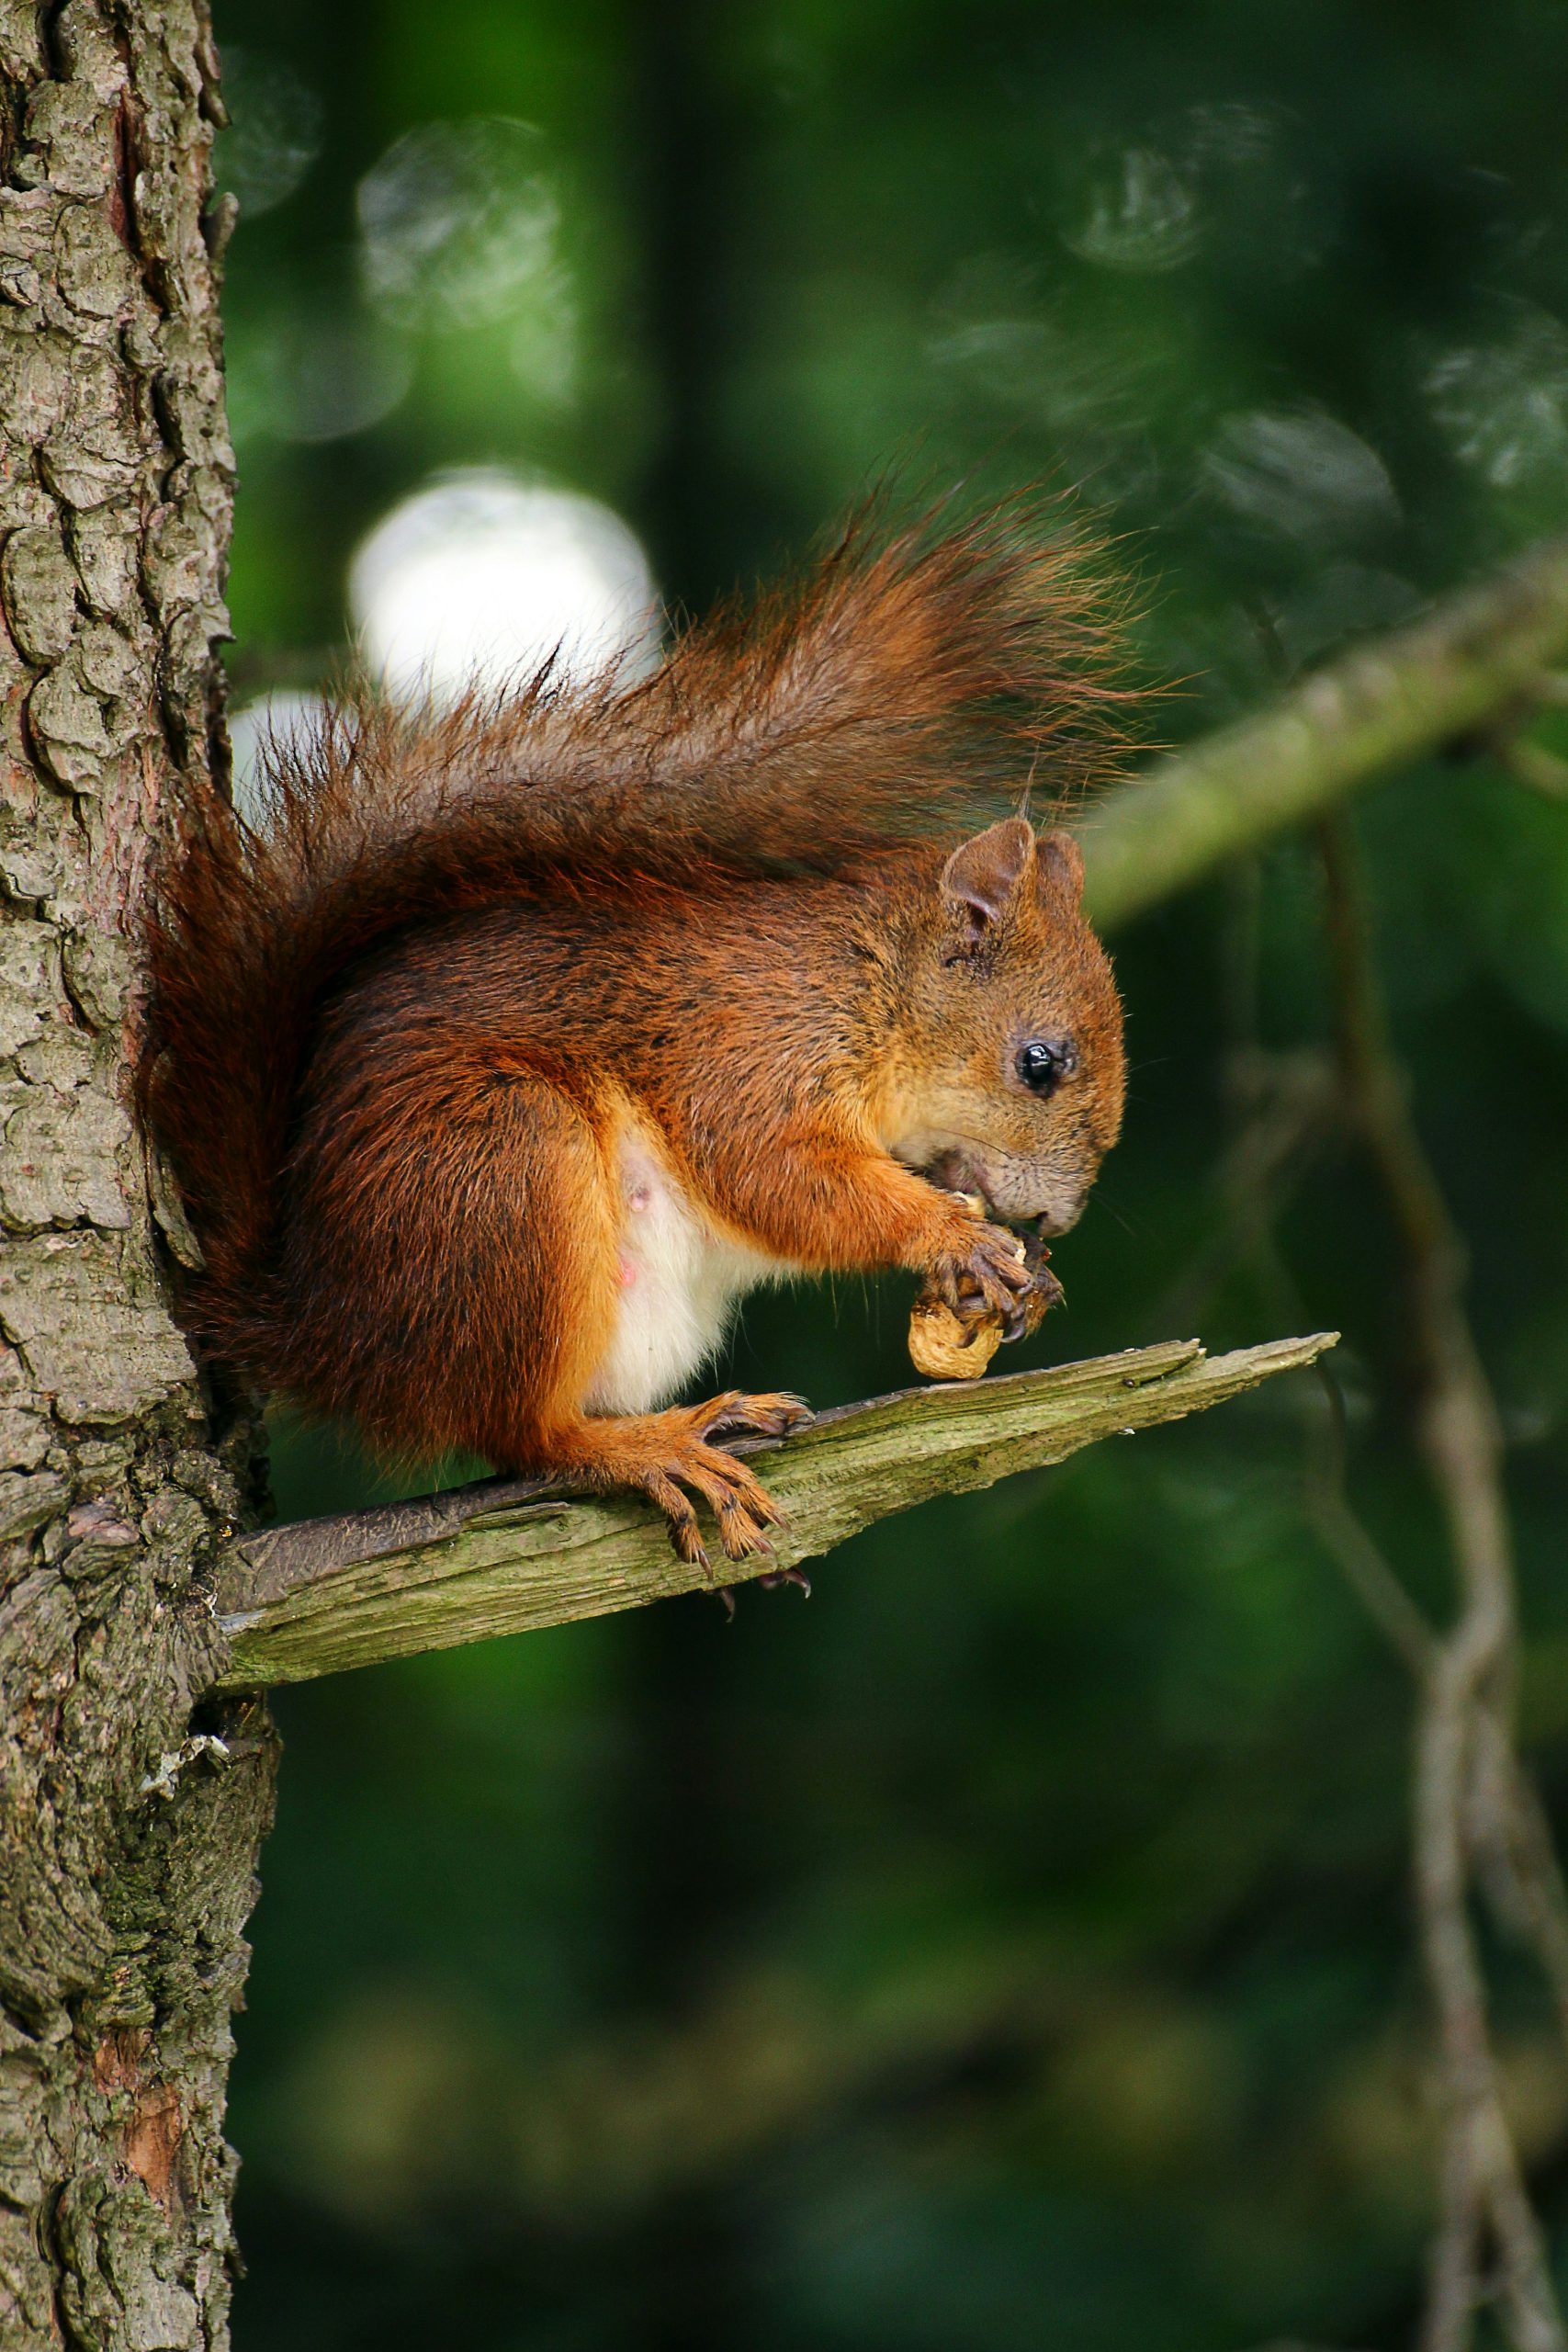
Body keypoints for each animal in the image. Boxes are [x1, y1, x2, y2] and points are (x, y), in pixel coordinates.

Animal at [141, 519, 1133, 1580]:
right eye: (1040, 1063)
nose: (1058, 1217)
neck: (868, 982)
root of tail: (323, 1330)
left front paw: (1034, 1279)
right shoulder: (747, 1045)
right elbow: (774, 1172)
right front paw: (954, 1235)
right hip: (503, 1167)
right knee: (525, 1435)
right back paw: (651, 1445)